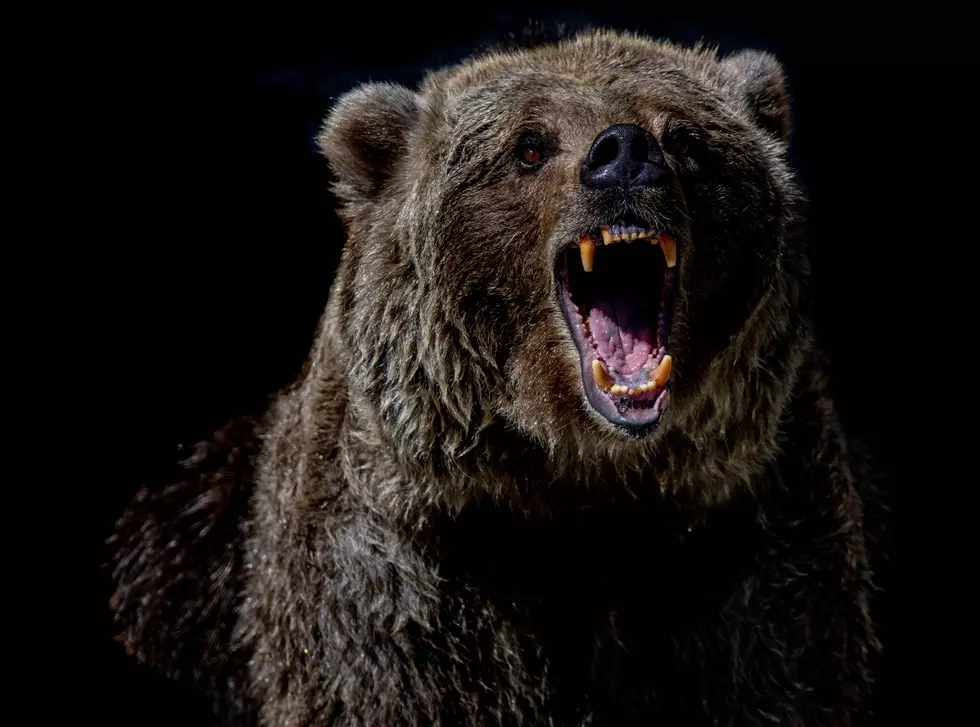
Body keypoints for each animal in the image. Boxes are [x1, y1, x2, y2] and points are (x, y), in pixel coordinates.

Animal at [109, 29, 883, 726]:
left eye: (687, 140)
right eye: (529, 146)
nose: (625, 154)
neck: (581, 484)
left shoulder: (752, 546)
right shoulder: (402, 581)